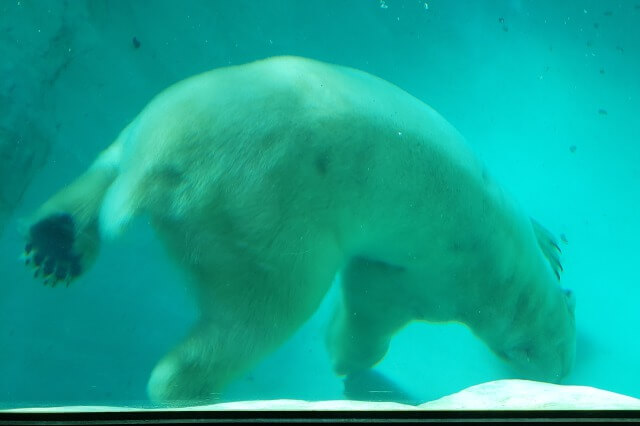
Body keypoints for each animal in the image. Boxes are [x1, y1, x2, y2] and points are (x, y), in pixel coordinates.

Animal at [22, 55, 576, 402]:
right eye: (549, 365)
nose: (565, 373)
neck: (511, 276)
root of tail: (158, 167)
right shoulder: (435, 274)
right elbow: (370, 304)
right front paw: (348, 363)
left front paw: (555, 246)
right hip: (264, 212)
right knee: (264, 311)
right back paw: (193, 389)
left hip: (166, 110)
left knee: (103, 165)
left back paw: (56, 246)